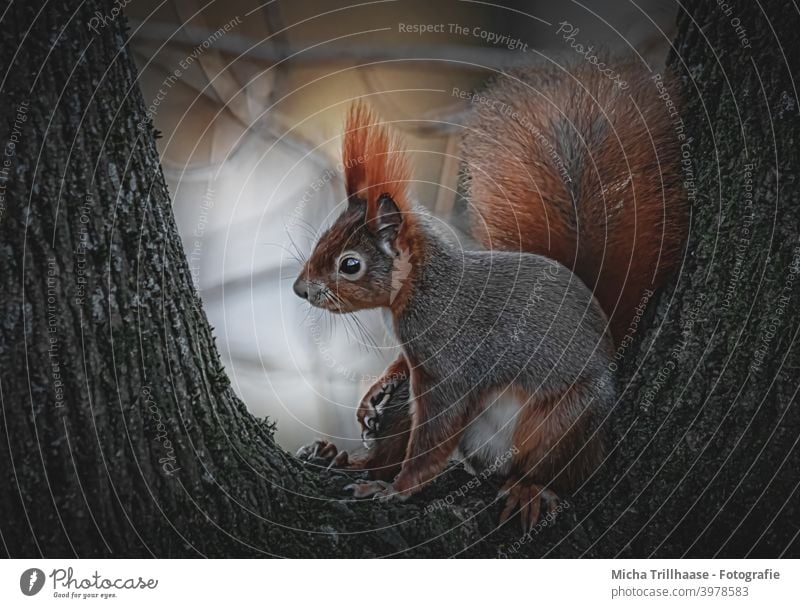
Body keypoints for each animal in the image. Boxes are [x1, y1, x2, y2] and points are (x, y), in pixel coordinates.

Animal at [296, 59, 684, 528]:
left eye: (350, 264)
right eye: (323, 240)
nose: (300, 290)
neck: (425, 284)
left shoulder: (451, 366)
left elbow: (434, 438)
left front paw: (398, 490)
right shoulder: (418, 361)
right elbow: (401, 375)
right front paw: (375, 392)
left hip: (565, 419)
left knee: (556, 468)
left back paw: (529, 488)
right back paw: (341, 459)